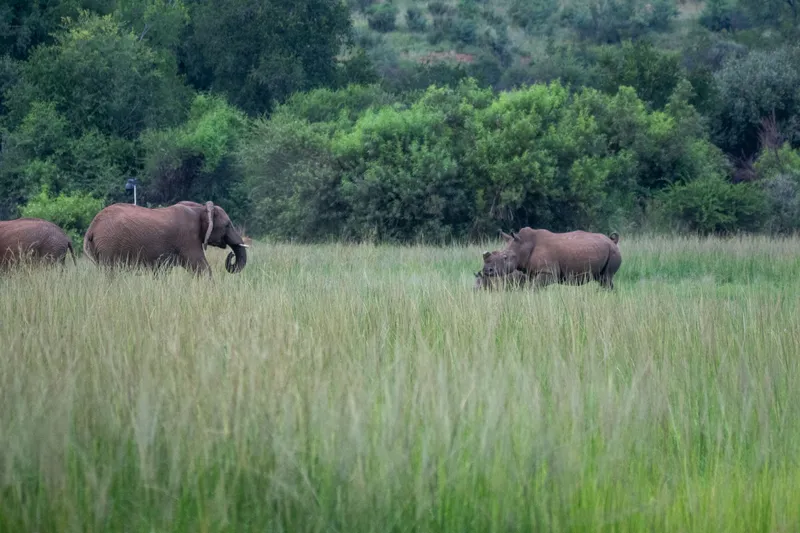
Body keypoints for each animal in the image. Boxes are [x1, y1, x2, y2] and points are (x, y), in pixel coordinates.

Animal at [83, 200, 248, 276]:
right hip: (108, 245)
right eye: (227, 225)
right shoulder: (188, 239)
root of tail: (91, 228)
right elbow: (202, 268)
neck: (200, 209)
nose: (231, 254)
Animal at [481, 228, 622, 290]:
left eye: (505, 258)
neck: (523, 245)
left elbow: (534, 287)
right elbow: (532, 286)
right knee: (603, 279)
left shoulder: (547, 272)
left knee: (606, 278)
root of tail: (612, 241)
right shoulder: (533, 272)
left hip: (613, 252)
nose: (487, 270)